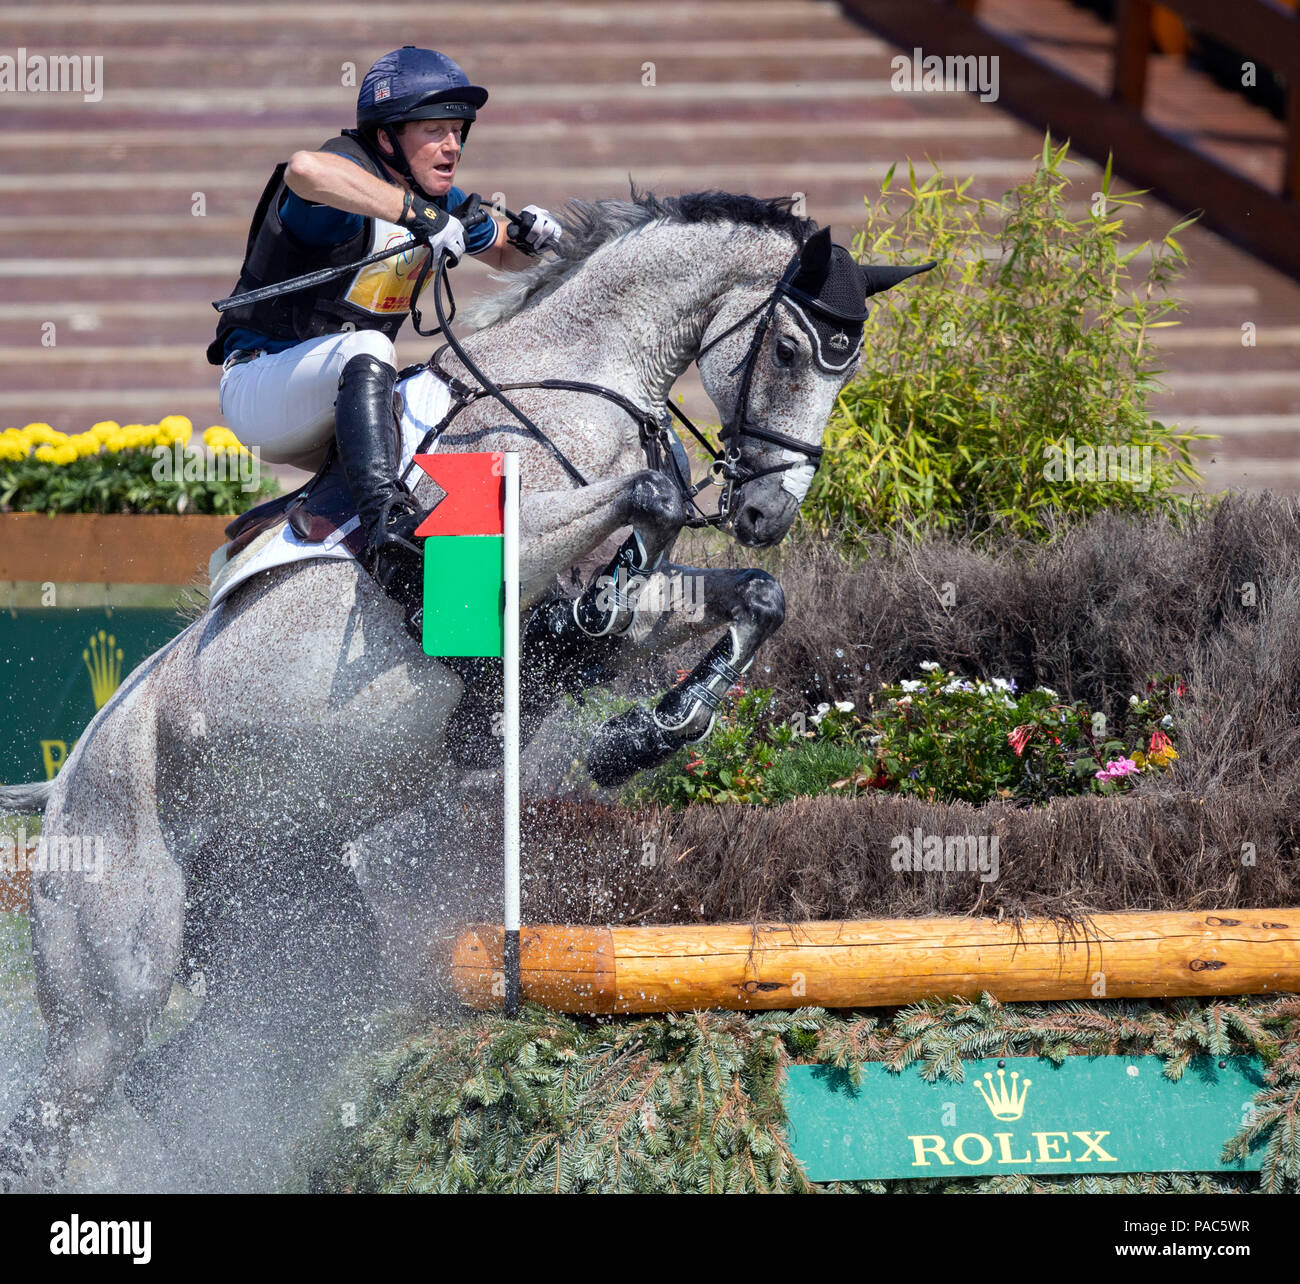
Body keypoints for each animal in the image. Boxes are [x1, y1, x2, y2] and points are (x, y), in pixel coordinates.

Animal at [0, 191, 935, 1185]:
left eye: (849, 366)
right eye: (790, 350)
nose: (765, 513)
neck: (579, 383)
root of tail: (64, 786)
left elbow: (749, 596)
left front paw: (641, 732)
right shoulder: (505, 554)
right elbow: (650, 496)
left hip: (287, 933)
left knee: (180, 1077)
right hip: (111, 992)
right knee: (58, 1111)